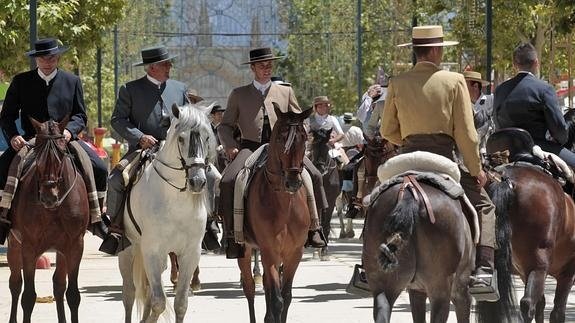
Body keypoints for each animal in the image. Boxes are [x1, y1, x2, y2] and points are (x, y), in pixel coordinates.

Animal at [6, 119, 90, 323]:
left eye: (61, 155)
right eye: (38, 157)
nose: (48, 197)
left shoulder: (75, 245)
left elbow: (72, 294)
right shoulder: (29, 247)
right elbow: (28, 297)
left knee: (58, 284)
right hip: (14, 243)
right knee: (15, 284)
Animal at [118, 103, 217, 323]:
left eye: (207, 137)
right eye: (181, 138)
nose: (198, 181)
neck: (175, 201)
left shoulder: (190, 253)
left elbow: (180, 303)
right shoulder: (153, 251)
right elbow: (159, 302)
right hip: (129, 250)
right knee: (129, 293)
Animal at [236, 106, 312, 323]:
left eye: (304, 138)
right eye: (279, 138)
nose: (292, 181)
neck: (285, 205)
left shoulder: (294, 253)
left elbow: (286, 296)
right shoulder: (269, 250)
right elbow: (277, 299)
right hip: (245, 249)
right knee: (250, 289)